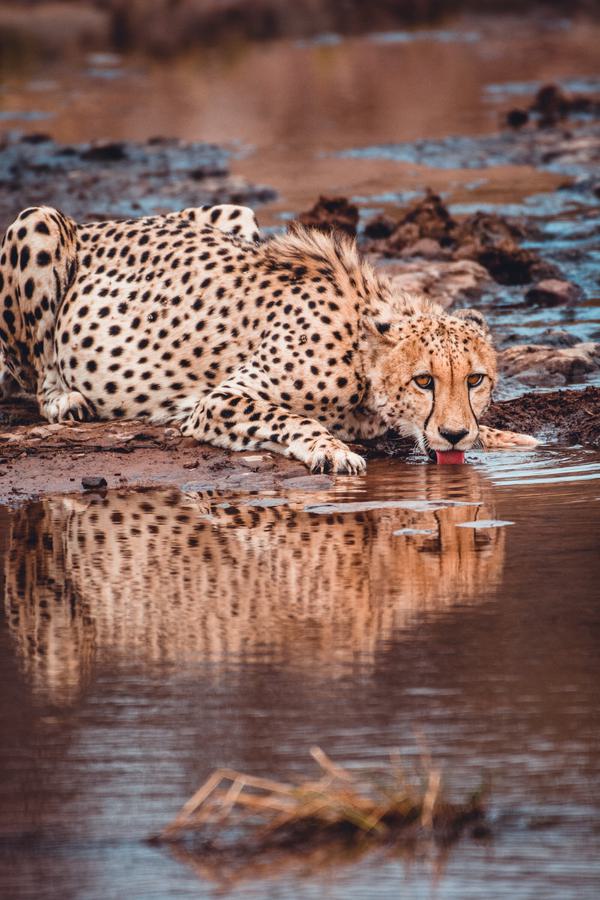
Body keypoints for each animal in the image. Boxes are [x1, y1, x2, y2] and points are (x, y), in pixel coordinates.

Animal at [0, 203, 537, 472]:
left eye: (475, 380)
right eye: (424, 381)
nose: (454, 433)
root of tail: (99, 224)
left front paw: (504, 437)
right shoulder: (217, 402)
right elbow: (289, 418)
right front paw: (333, 450)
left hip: (235, 212)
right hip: (36, 222)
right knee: (37, 373)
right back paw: (65, 399)